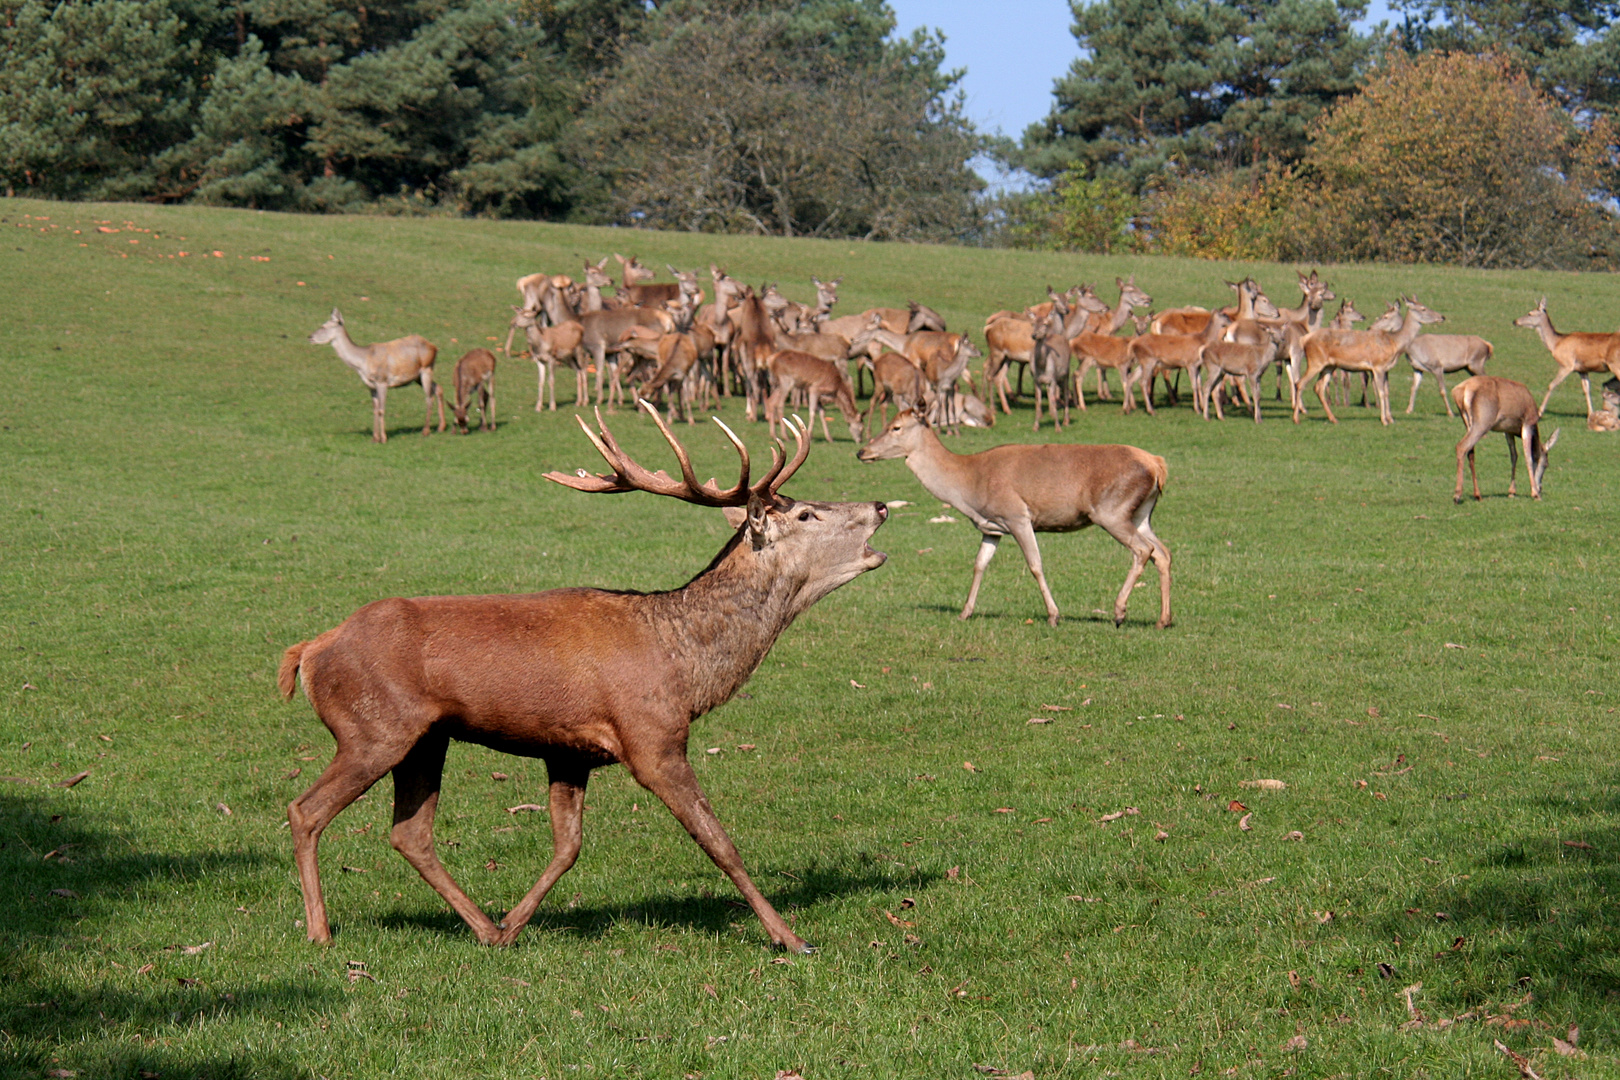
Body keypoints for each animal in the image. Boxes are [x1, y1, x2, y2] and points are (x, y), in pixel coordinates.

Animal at [278, 408, 887, 952]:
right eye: (805, 514)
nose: (881, 504)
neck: (685, 666)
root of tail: (309, 653)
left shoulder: (568, 749)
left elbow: (567, 847)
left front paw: (512, 925)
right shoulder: (652, 738)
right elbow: (719, 842)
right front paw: (791, 937)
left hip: (427, 738)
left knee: (410, 833)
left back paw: (483, 928)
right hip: (373, 728)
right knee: (305, 810)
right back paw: (319, 931)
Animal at [307, 307, 443, 443]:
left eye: (324, 326)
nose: (309, 336)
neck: (362, 363)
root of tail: (435, 347)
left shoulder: (382, 380)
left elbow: (381, 409)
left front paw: (383, 438)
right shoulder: (370, 385)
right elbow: (375, 410)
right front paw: (374, 438)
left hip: (426, 368)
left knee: (428, 397)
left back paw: (426, 431)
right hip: (417, 376)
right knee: (438, 388)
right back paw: (441, 427)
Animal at [855, 414, 1172, 634]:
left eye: (896, 427)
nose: (862, 451)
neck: (968, 487)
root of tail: (1157, 464)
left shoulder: (1016, 515)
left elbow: (1035, 564)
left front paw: (1054, 615)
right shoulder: (992, 528)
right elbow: (979, 564)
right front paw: (965, 612)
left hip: (1111, 511)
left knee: (1143, 550)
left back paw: (1119, 613)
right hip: (1141, 514)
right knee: (1163, 552)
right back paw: (1163, 620)